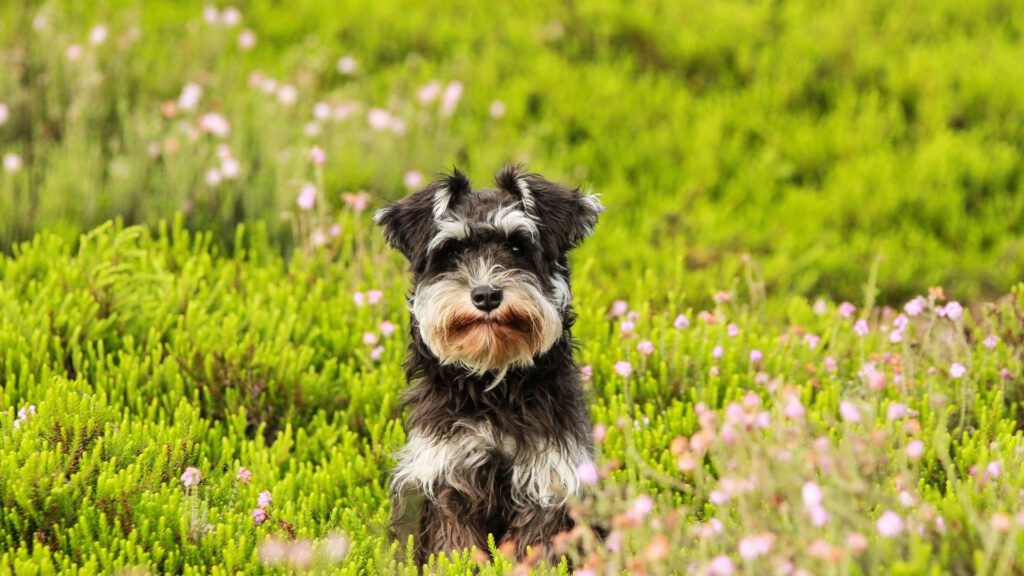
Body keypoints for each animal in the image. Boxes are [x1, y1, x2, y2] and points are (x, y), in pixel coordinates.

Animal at [374, 163, 598, 561]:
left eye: (517, 246)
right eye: (451, 250)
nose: (486, 295)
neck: (494, 384)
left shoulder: (547, 480)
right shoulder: (447, 477)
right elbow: (455, 548)